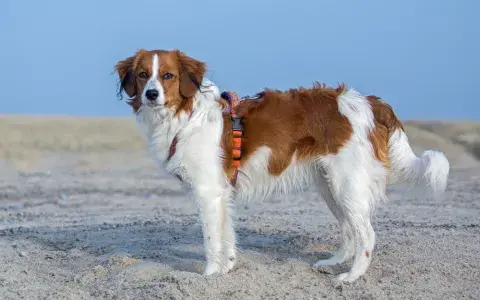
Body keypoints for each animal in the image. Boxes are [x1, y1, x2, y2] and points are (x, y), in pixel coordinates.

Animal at [113, 48, 450, 282]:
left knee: (366, 234)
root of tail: (369, 101)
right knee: (349, 230)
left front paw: (208, 275)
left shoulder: (208, 192)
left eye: (167, 75)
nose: (151, 94)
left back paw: (351, 276)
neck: (185, 117)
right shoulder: (222, 193)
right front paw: (226, 269)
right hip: (330, 185)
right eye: (143, 74)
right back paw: (334, 263)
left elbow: (211, 240)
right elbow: (227, 235)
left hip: (347, 184)